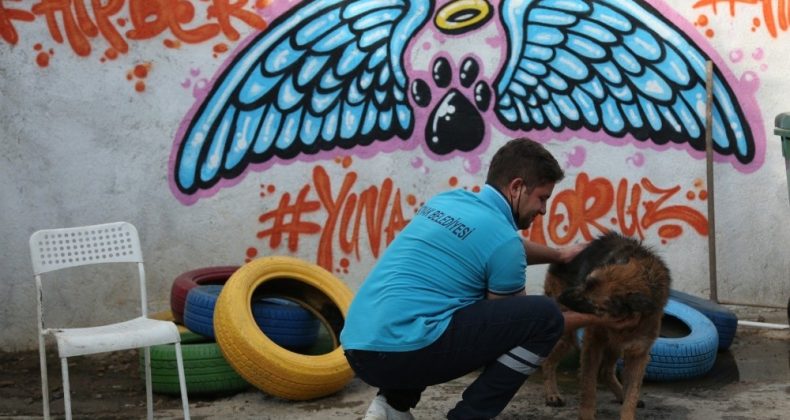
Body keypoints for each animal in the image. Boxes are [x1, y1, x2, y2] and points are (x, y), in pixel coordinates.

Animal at [544, 233, 668, 420]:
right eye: (585, 282)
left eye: (589, 301)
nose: (561, 297)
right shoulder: (593, 342)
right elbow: (588, 384)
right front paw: (587, 414)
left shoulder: (638, 351)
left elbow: (632, 393)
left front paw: (627, 410)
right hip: (568, 336)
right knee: (548, 360)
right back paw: (552, 394)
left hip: (614, 344)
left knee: (605, 371)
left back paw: (620, 394)